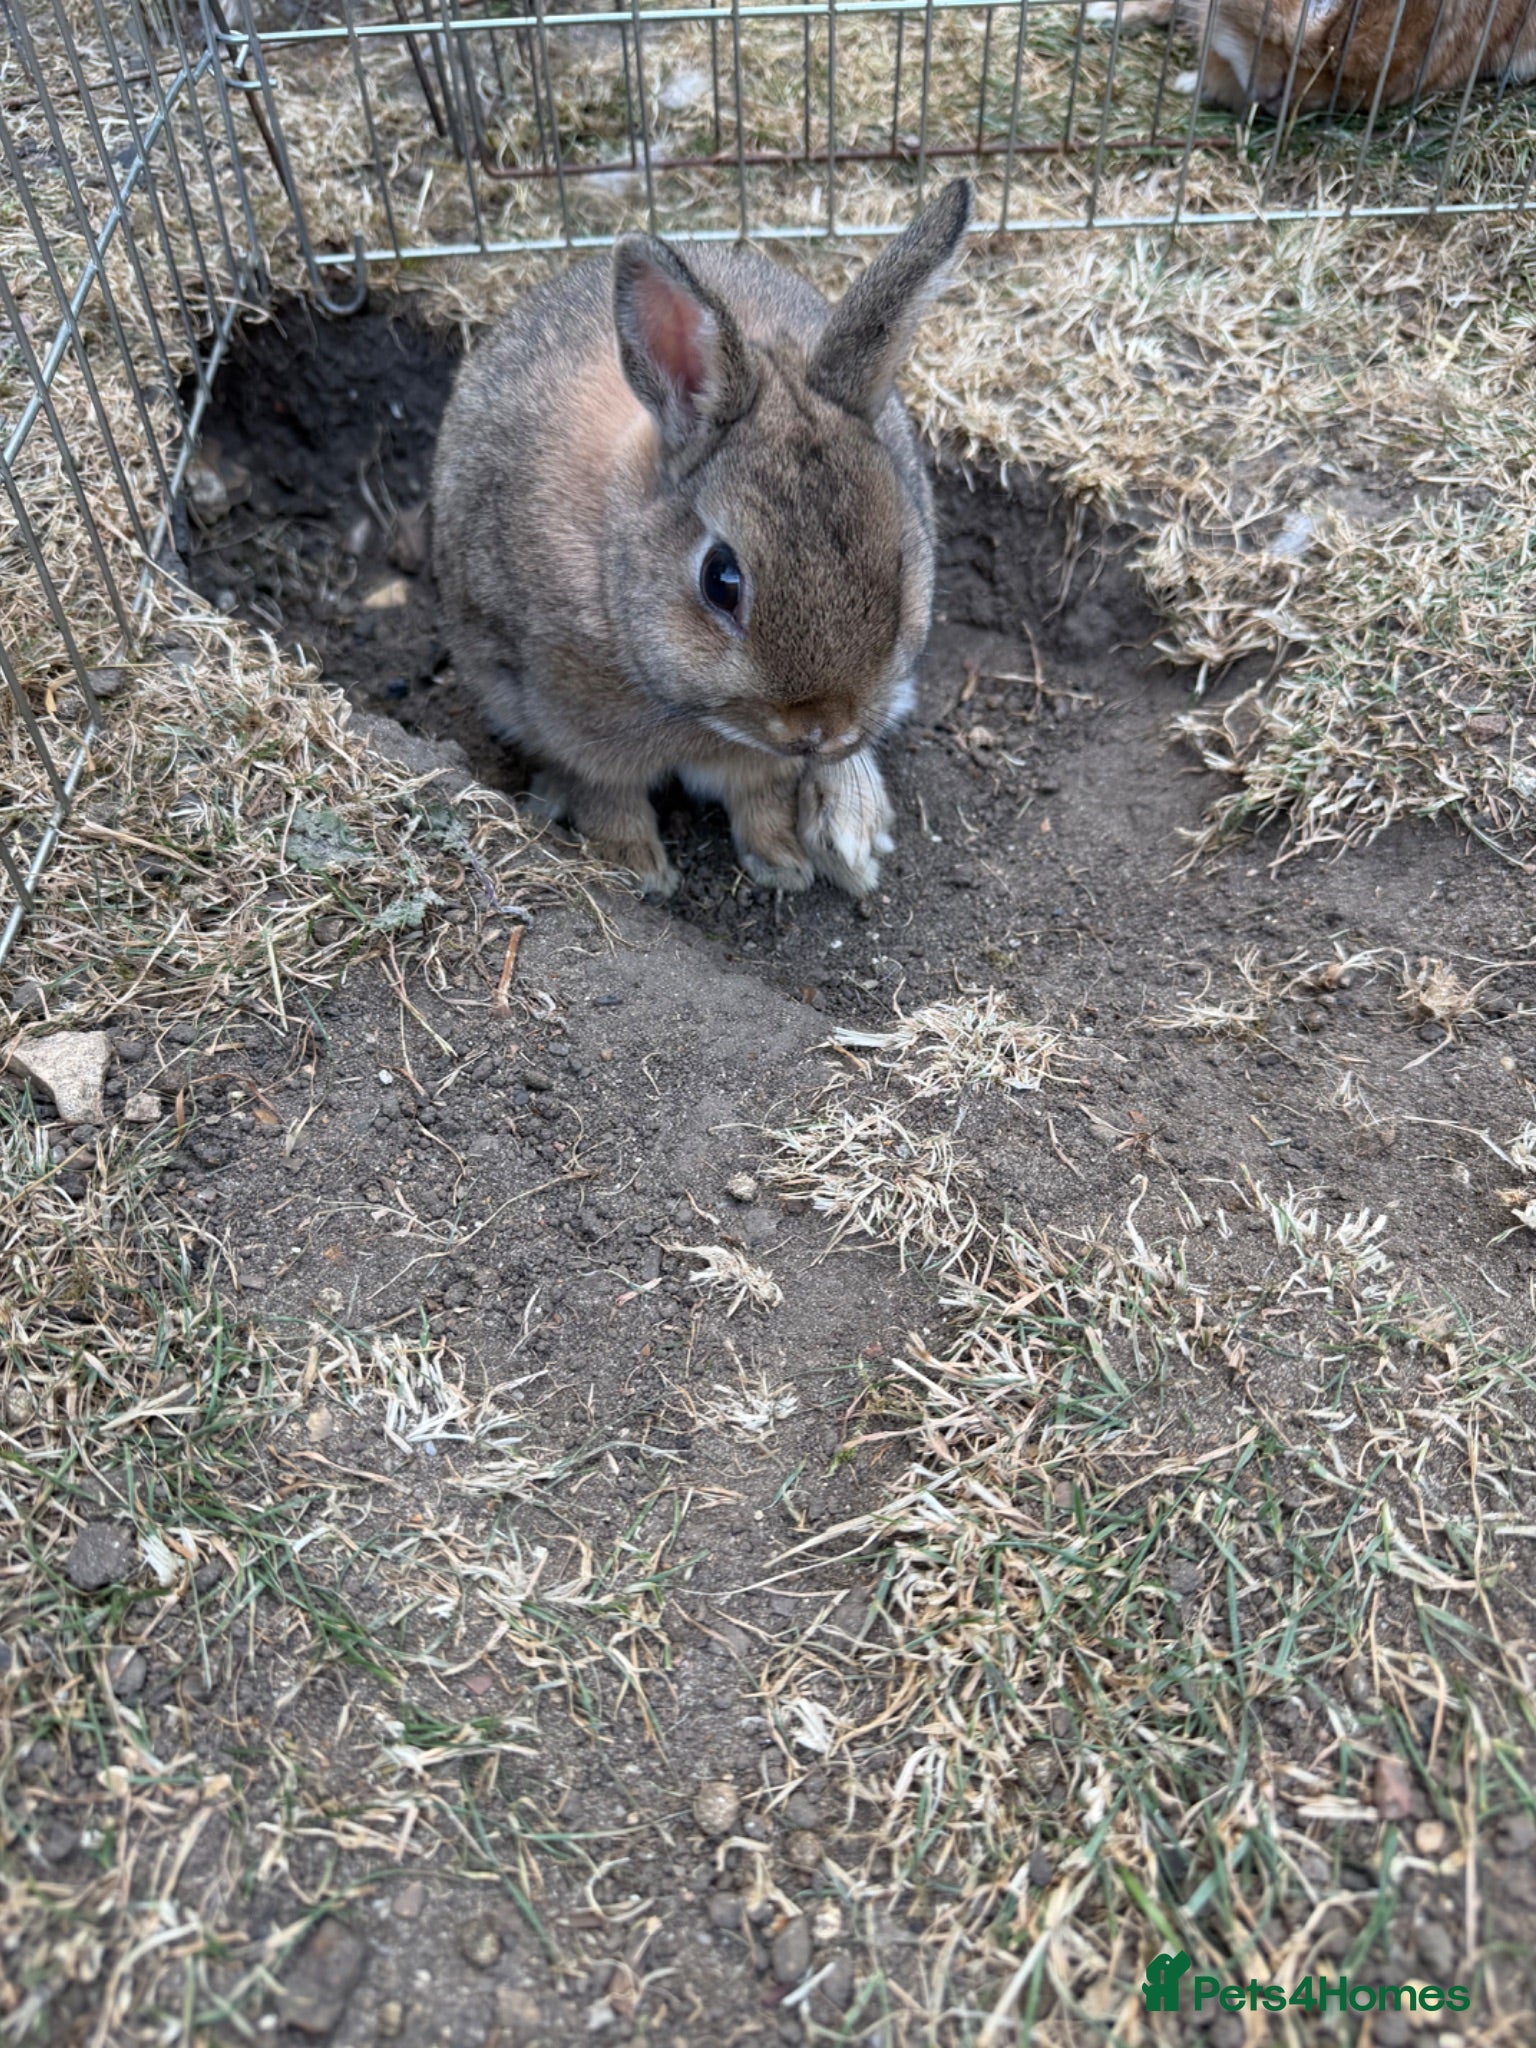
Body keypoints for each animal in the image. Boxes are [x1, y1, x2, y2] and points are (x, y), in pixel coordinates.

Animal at [431, 179, 972, 900]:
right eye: (721, 581)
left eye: (903, 568)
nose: (820, 729)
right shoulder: (567, 723)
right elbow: (606, 793)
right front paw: (635, 869)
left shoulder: (763, 761)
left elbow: (760, 795)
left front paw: (781, 862)